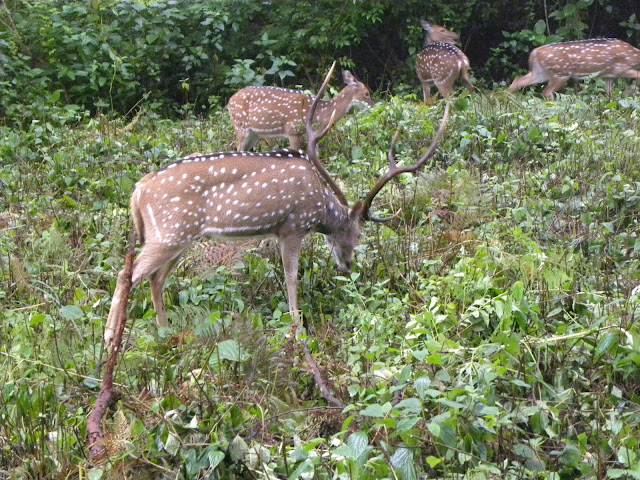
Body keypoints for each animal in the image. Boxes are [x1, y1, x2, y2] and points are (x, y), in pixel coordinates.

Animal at [228, 69, 376, 151]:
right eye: (366, 93)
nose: (374, 107)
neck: (320, 114)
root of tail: (229, 102)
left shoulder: (310, 135)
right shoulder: (293, 130)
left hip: (254, 134)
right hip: (241, 126)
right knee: (238, 149)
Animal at [510, 38, 640, 98]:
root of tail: (534, 52)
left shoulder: (609, 75)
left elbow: (609, 94)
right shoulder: (620, 68)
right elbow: (638, 75)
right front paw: (631, 92)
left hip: (540, 72)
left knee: (517, 81)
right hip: (560, 73)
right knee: (546, 91)